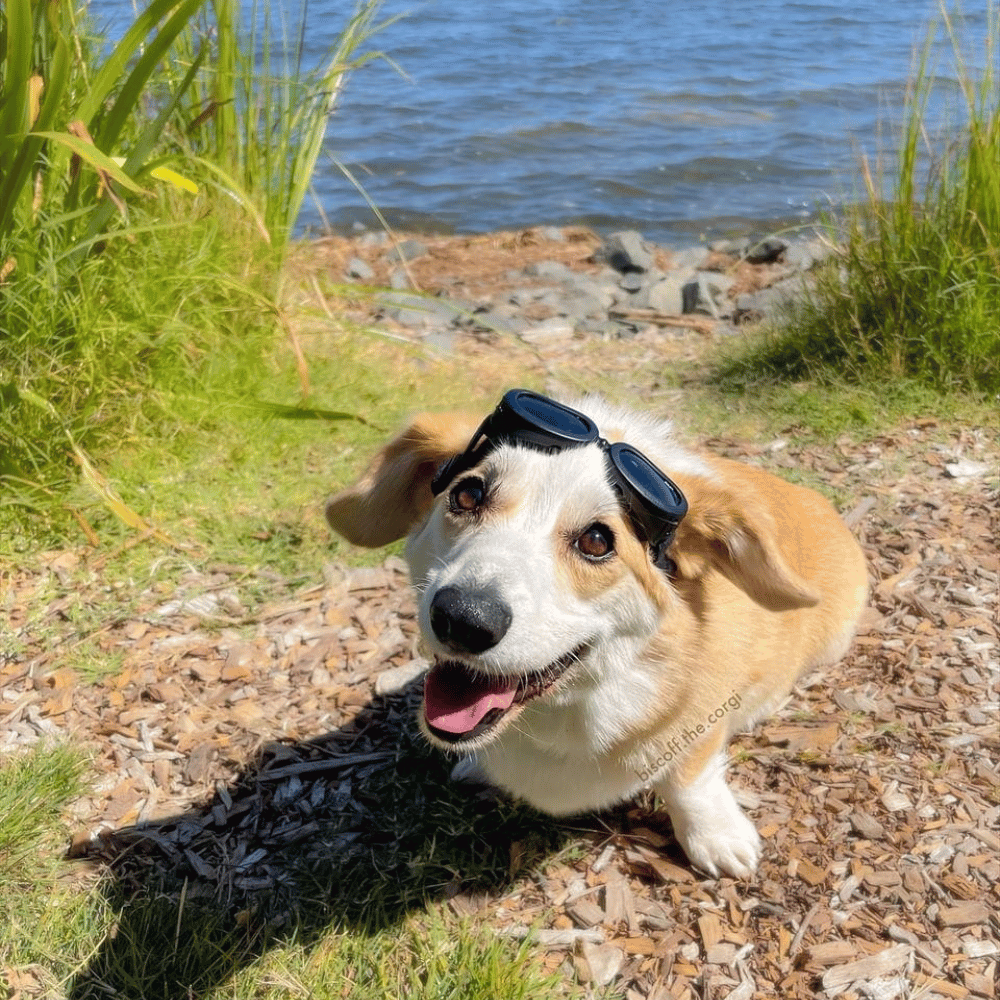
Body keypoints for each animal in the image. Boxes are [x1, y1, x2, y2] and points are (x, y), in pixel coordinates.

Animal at [326, 388, 868, 876]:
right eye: (467, 494)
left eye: (596, 541)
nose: (462, 619)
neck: (572, 707)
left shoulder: (699, 724)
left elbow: (689, 779)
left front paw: (716, 838)